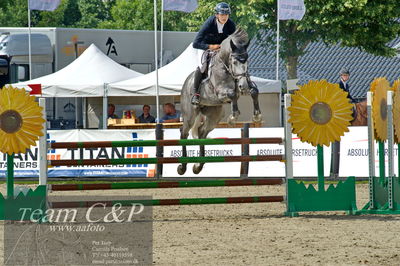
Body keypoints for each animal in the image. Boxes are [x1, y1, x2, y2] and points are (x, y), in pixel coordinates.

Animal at [179, 28, 262, 175]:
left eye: (247, 61)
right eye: (234, 62)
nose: (243, 86)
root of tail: (186, 83)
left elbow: (254, 92)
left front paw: (256, 116)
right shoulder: (220, 92)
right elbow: (232, 94)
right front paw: (233, 117)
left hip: (215, 114)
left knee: (201, 132)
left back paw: (198, 166)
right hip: (190, 114)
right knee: (184, 132)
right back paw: (183, 167)